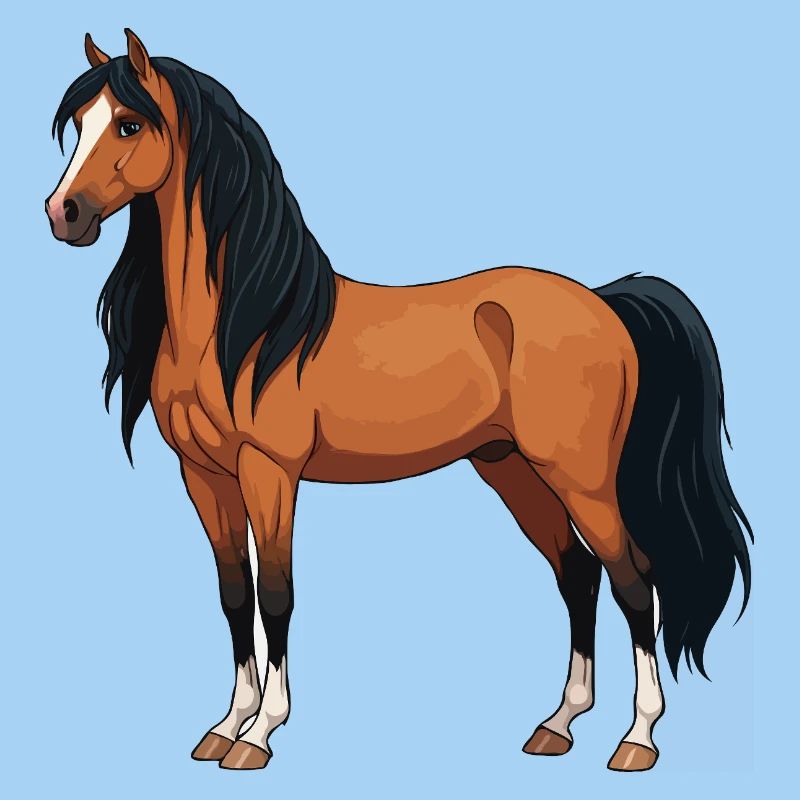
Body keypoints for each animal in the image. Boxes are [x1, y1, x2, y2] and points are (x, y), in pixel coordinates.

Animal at [45, 29, 752, 772]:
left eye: (129, 124)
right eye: (80, 124)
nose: (63, 213)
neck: (250, 323)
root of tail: (602, 302)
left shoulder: (271, 472)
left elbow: (276, 597)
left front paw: (260, 734)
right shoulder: (204, 475)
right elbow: (235, 597)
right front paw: (224, 726)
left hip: (581, 477)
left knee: (633, 580)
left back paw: (637, 738)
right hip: (510, 467)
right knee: (578, 575)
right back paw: (558, 724)